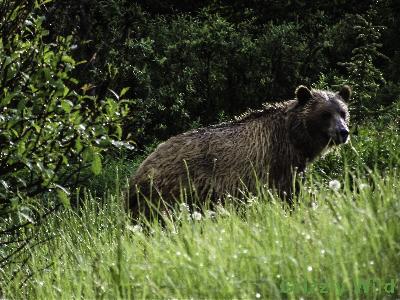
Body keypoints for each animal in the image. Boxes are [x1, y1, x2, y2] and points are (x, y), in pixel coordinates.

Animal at [128, 85, 350, 214]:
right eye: (325, 114)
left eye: (343, 112)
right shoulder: (277, 163)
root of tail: (138, 172)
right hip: (171, 191)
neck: (295, 140)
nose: (343, 132)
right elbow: (288, 194)